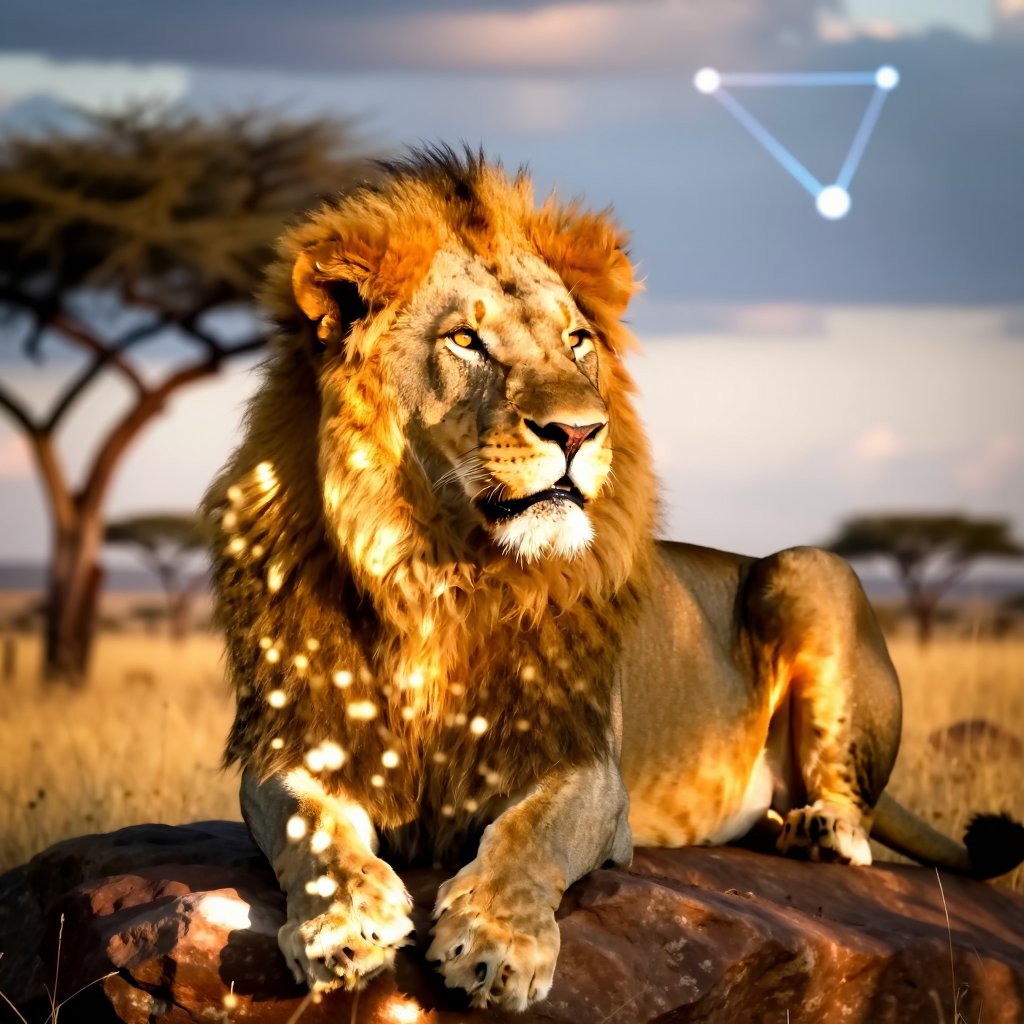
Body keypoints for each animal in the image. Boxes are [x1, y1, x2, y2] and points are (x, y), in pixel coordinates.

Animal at [205, 147, 1024, 1010]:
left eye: (576, 341)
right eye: (465, 340)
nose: (578, 431)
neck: (441, 570)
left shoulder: (586, 768)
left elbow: (529, 836)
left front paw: (497, 946)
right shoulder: (291, 747)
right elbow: (312, 829)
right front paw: (343, 924)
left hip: (812, 568)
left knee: (854, 807)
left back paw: (818, 830)